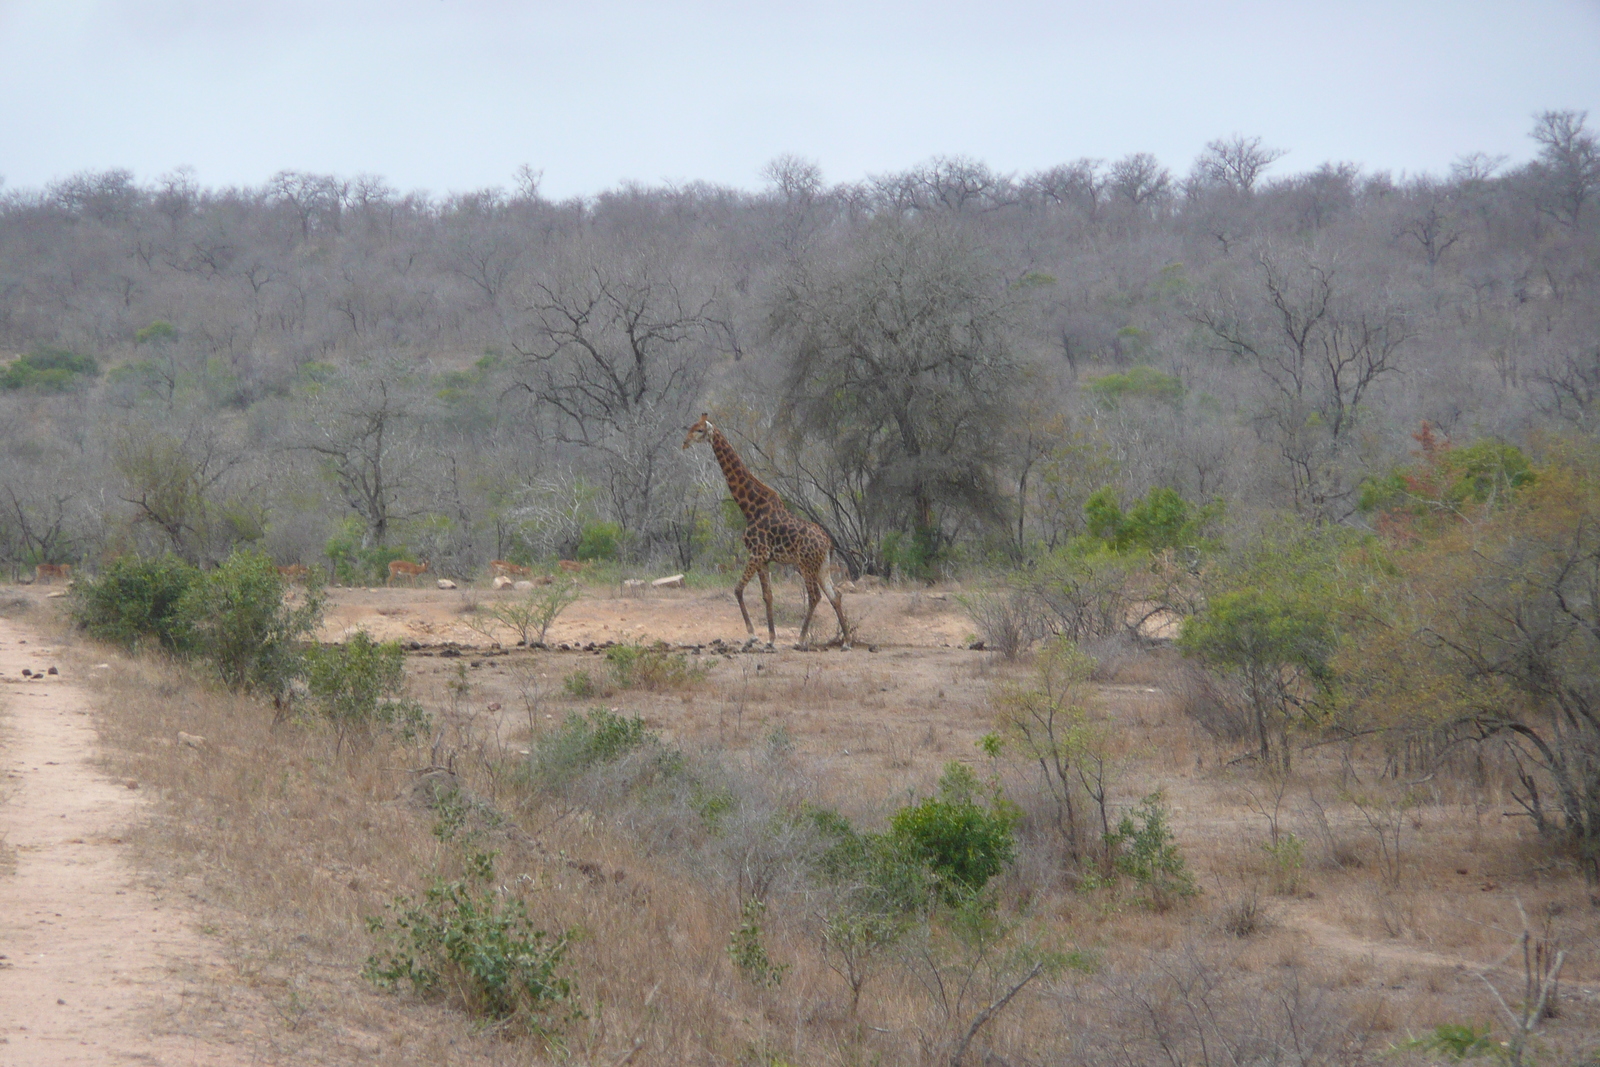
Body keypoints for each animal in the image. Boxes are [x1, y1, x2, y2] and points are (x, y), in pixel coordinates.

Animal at [684, 415, 857, 652]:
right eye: (691, 427)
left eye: (700, 430)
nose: (685, 443)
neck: (750, 507)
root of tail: (829, 543)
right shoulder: (764, 559)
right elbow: (768, 596)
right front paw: (770, 640)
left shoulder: (756, 553)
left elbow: (738, 590)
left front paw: (752, 637)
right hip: (822, 566)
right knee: (835, 595)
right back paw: (846, 642)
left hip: (806, 564)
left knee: (815, 596)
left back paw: (800, 640)